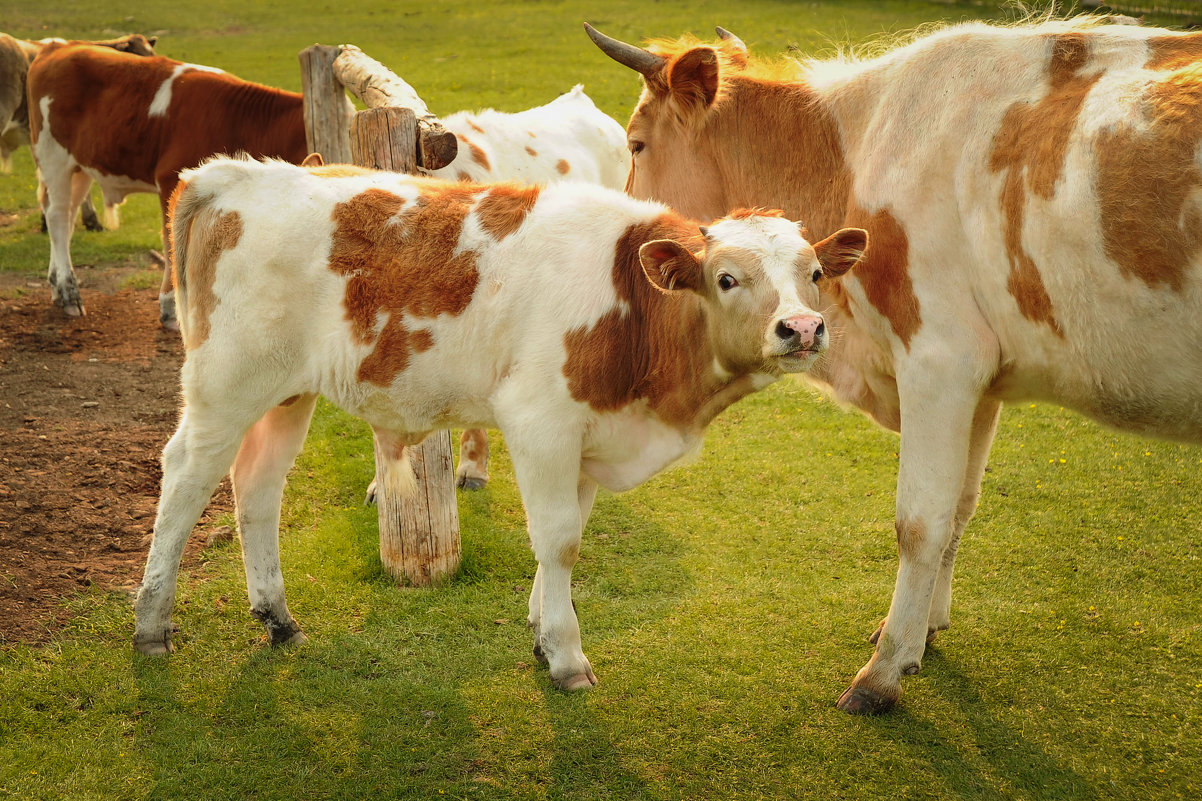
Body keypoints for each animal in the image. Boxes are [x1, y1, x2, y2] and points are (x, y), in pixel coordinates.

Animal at [29, 42, 310, 322]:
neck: (242, 121)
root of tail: (59, 45)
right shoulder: (170, 180)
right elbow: (172, 242)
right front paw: (172, 308)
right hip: (53, 155)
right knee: (57, 217)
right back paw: (69, 293)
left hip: (80, 166)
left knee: (67, 216)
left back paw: (56, 287)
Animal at [131, 156, 865, 692]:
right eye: (727, 278)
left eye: (815, 272)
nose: (802, 328)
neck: (629, 302)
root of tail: (230, 174)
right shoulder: (541, 421)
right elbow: (560, 540)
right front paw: (567, 656)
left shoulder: (589, 435)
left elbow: (568, 531)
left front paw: (543, 629)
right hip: (225, 381)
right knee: (185, 478)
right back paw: (151, 623)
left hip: (287, 392)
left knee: (256, 486)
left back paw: (277, 616)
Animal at [586, 18, 1202, 712]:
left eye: (636, 143)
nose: (623, 253)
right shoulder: (983, 380)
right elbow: (958, 509)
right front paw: (921, 630)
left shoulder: (939, 358)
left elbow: (920, 521)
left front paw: (882, 673)